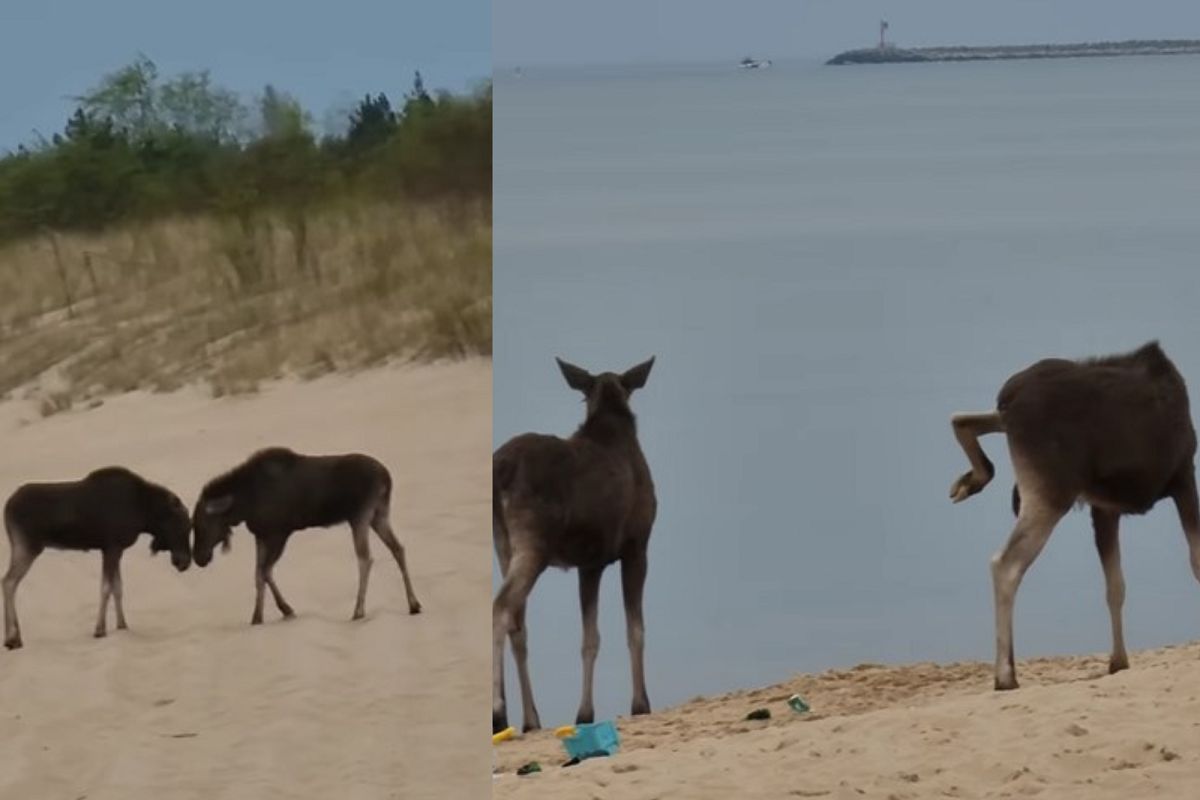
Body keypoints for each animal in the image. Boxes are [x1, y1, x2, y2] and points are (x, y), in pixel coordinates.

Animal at [3, 470, 192, 652]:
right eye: (183, 526)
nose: (185, 562)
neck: (144, 514)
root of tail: (7, 508)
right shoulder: (111, 548)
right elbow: (106, 588)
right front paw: (100, 629)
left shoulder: (115, 550)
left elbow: (117, 588)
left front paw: (122, 624)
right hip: (27, 547)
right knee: (9, 582)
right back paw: (12, 638)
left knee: (7, 581)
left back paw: (11, 638)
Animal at [192, 443, 422, 623]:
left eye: (201, 524)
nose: (198, 558)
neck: (244, 503)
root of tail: (387, 478)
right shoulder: (261, 535)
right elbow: (259, 575)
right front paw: (258, 617)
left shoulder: (279, 533)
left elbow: (265, 572)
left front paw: (285, 609)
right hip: (379, 515)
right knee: (398, 548)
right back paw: (414, 604)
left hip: (359, 517)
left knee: (365, 558)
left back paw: (358, 611)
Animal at [487, 359, 657, 734]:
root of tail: (499, 469)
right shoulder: (637, 545)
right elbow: (635, 629)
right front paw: (640, 704)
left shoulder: (589, 562)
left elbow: (589, 638)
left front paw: (584, 713)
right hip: (533, 544)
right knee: (501, 607)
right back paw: (497, 712)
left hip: (504, 545)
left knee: (518, 624)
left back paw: (530, 719)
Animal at [945, 340, 1200, 690]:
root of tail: (1010, 397)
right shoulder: (1184, 476)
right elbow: (1196, 561)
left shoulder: (1105, 507)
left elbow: (1115, 585)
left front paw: (1118, 662)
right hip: (1052, 492)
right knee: (1005, 563)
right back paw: (1006, 675)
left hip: (1026, 453)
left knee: (961, 418)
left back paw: (971, 479)